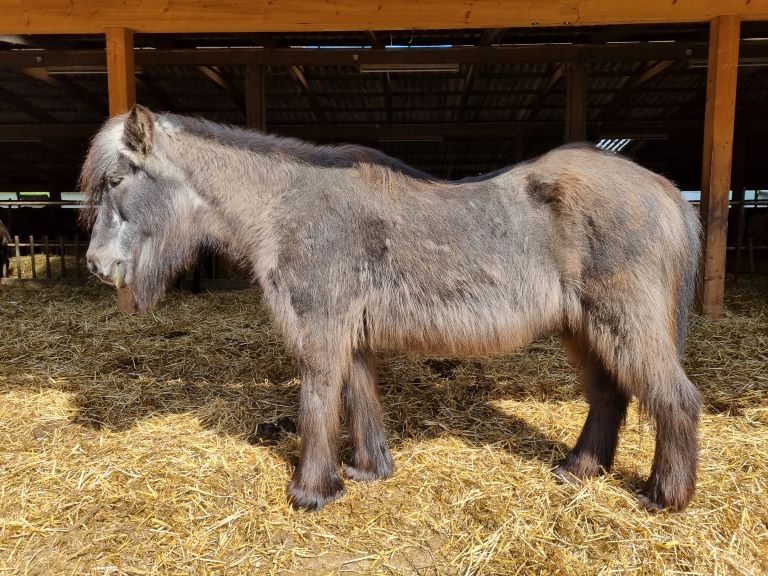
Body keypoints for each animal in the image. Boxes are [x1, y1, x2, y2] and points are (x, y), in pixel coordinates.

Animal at [82, 105, 702, 512]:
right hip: (584, 327)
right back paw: (579, 469)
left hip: (626, 322)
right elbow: (359, 397)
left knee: (674, 398)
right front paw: (367, 470)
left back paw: (663, 496)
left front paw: (310, 491)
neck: (284, 206)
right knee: (609, 395)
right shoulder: (349, 333)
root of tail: (665, 189)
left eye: (116, 179)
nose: (96, 263)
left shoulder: (321, 327)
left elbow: (317, 403)